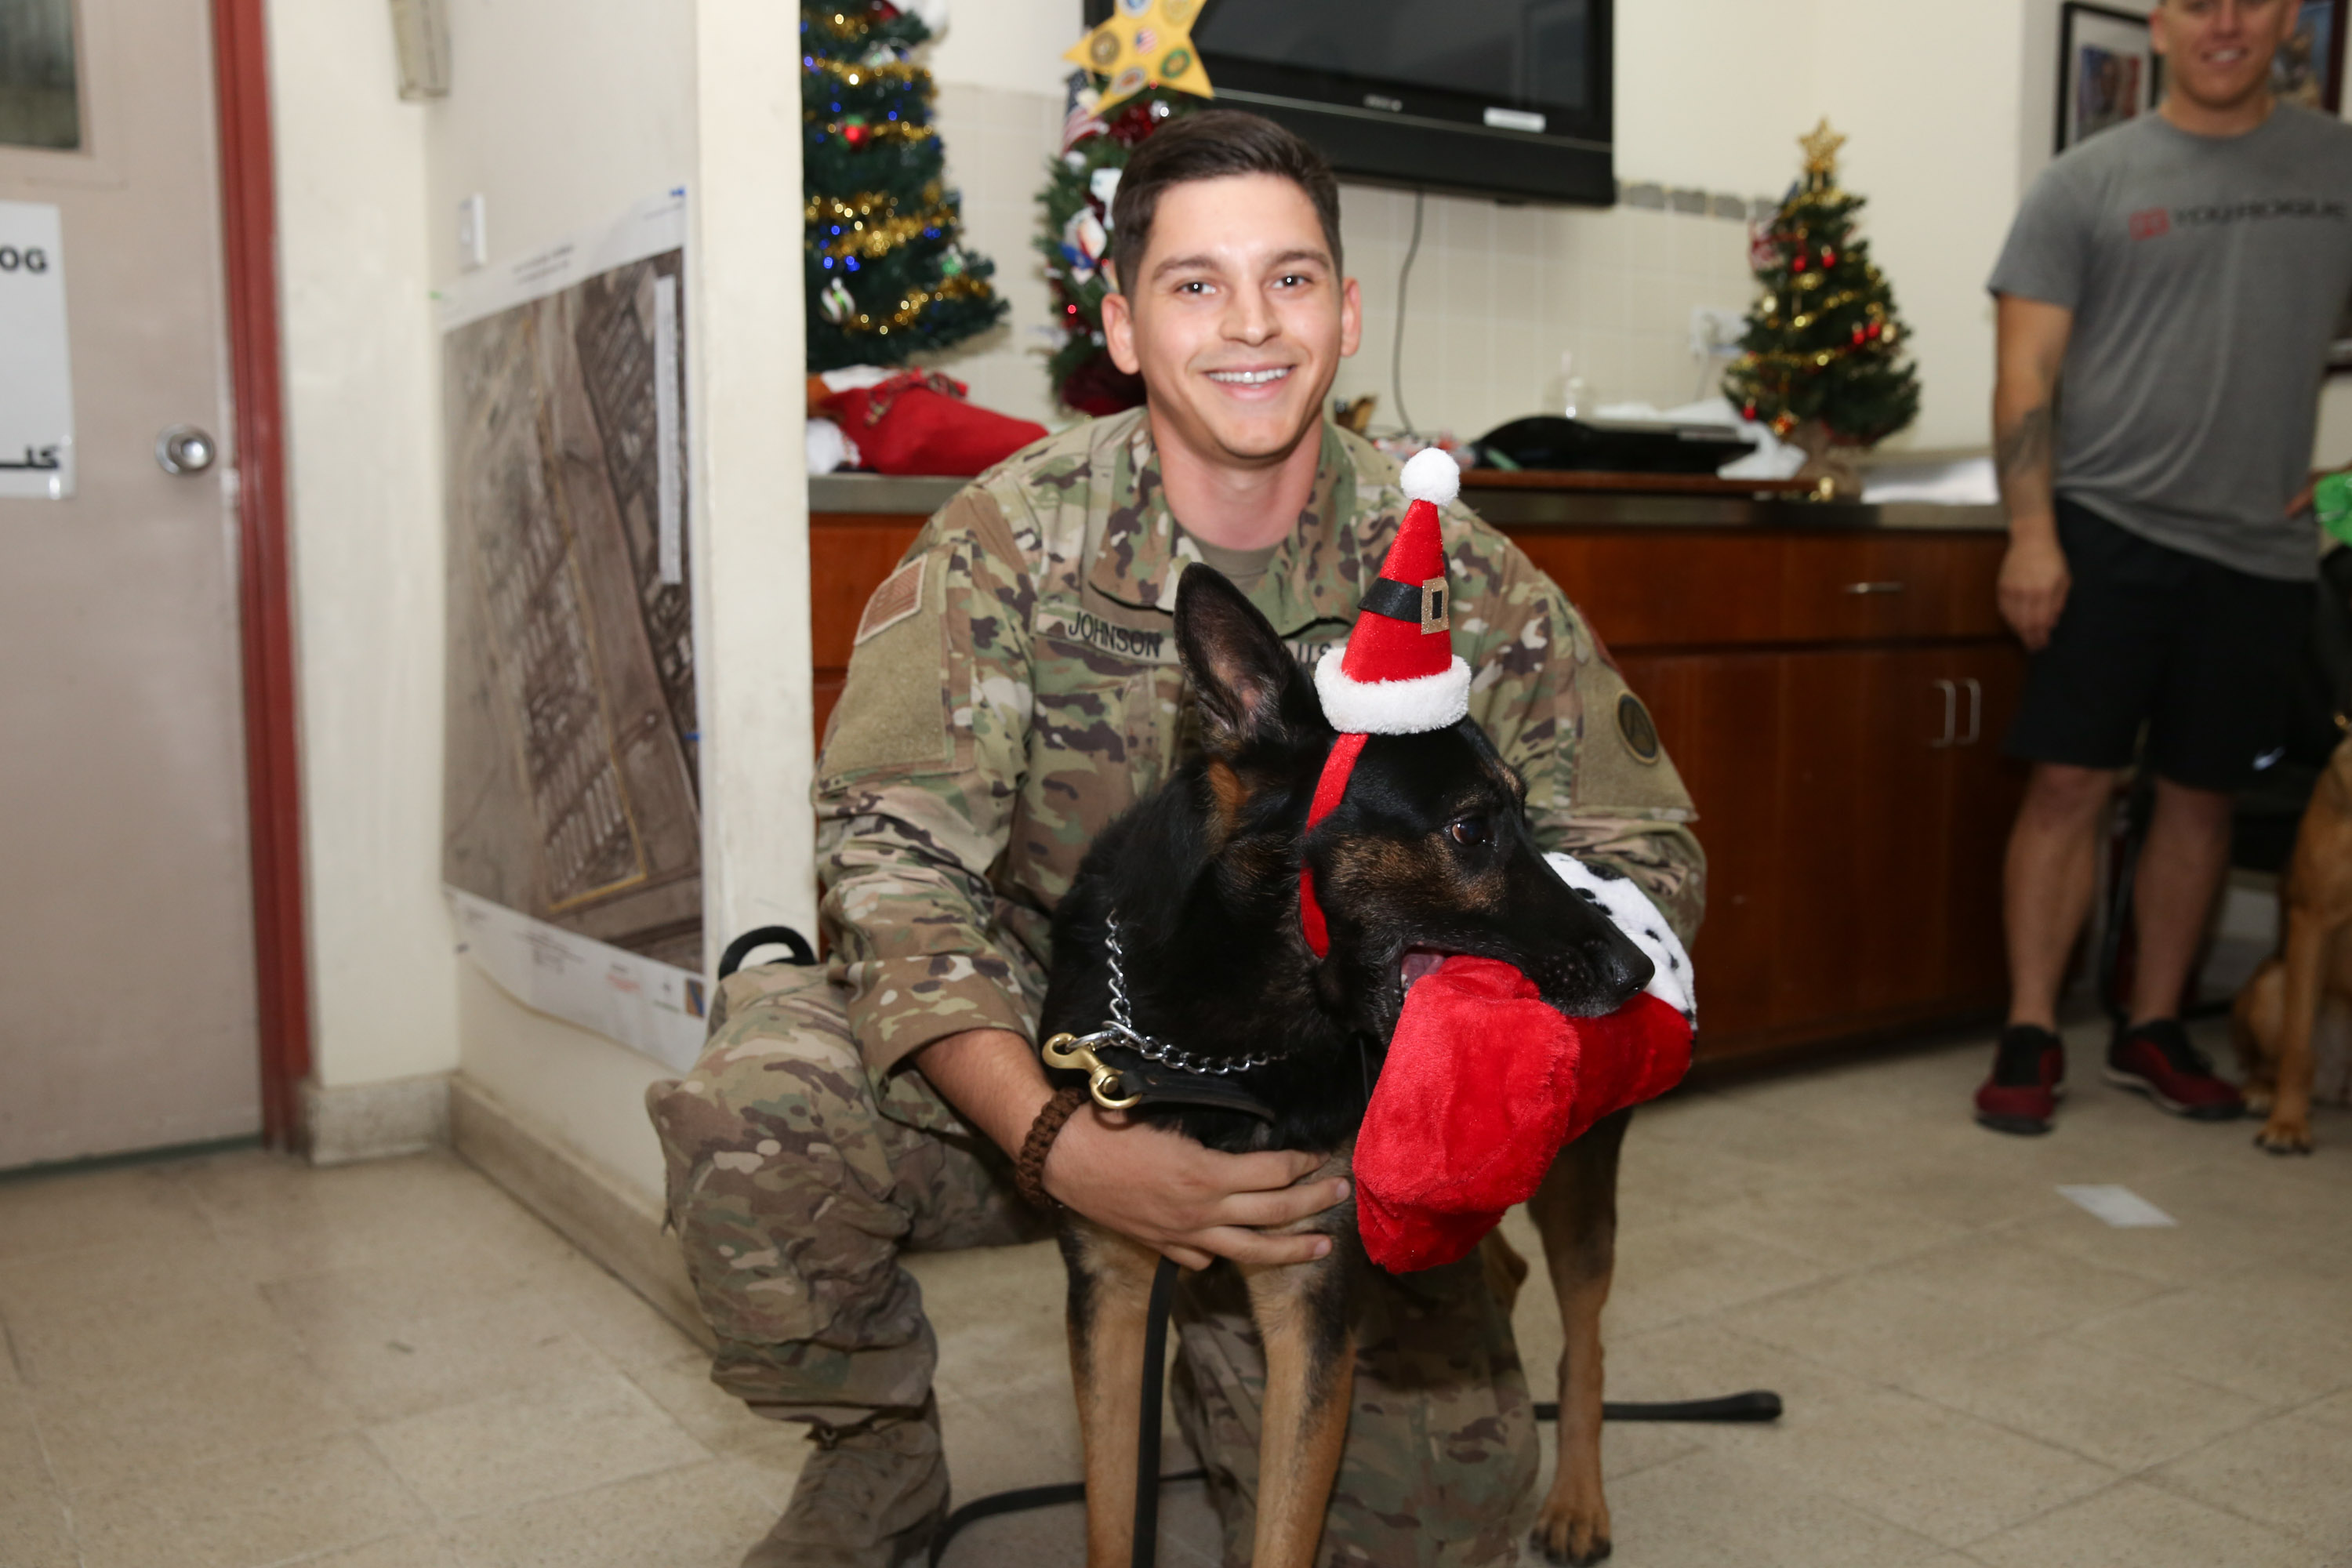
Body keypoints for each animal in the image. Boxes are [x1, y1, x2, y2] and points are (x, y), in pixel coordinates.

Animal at [1030, 566, 1656, 1568]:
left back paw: (1577, 1499)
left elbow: (1286, 1530)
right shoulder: (1112, 1291)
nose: (1641, 972)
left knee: (1584, 1334)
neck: (1221, 1042)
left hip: (1577, 1178)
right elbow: (1110, 1519)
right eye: (1471, 828)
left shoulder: (1308, 1305)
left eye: (1525, 815)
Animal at [2220, 738, 2352, 1152]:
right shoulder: (2313, 920)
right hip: (2273, 982)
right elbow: (2297, 1046)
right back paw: (2264, 1094)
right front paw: (2288, 1124)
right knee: (2271, 1065)